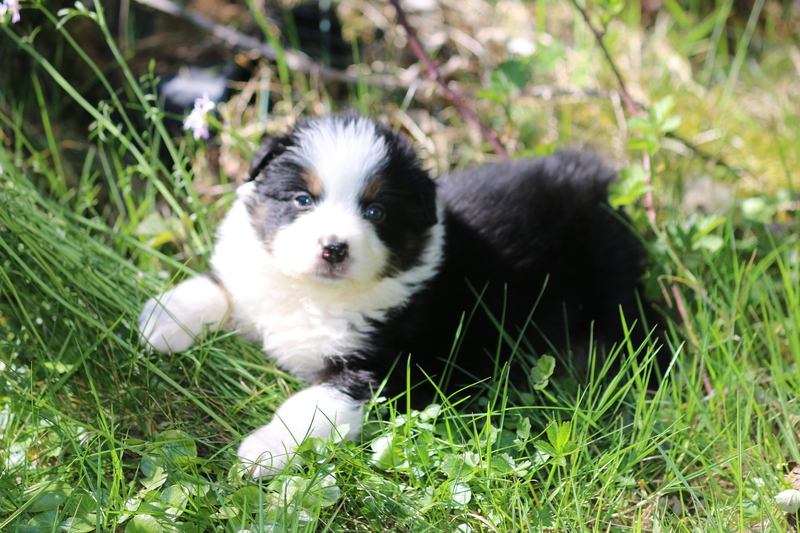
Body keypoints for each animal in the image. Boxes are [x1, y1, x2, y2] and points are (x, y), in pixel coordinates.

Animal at [138, 112, 655, 478]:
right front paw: (163, 320)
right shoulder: (259, 282)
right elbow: (223, 288)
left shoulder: (378, 366)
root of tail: (593, 178)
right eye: (303, 200)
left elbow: (311, 405)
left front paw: (266, 449)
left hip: (612, 285)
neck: (314, 295)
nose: (333, 248)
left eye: (376, 211)